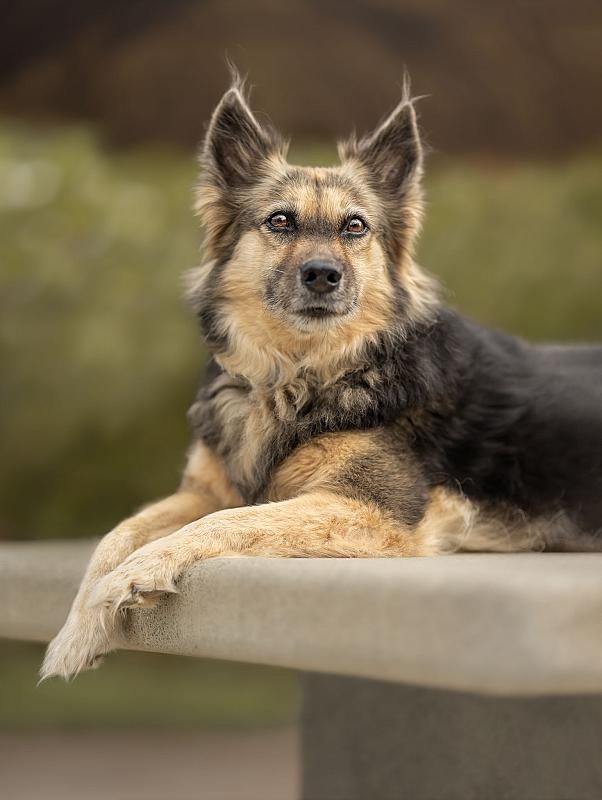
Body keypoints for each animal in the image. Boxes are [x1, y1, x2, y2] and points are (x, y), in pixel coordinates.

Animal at [41, 74, 602, 680]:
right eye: (279, 221)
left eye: (354, 226)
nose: (322, 275)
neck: (300, 372)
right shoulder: (206, 490)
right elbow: (116, 534)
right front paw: (75, 634)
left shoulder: (369, 508)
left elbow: (230, 522)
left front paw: (138, 573)